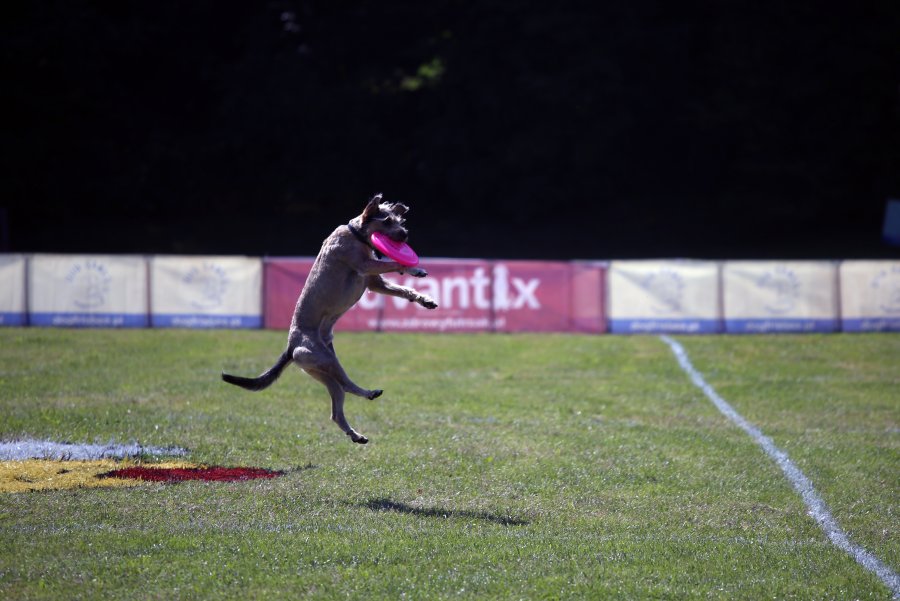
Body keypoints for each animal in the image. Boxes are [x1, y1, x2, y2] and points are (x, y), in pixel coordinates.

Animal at [223, 195, 438, 442]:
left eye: (400, 220)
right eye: (386, 221)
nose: (404, 234)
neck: (356, 234)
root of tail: (291, 347)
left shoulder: (374, 282)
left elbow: (402, 289)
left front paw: (424, 299)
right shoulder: (365, 266)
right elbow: (394, 263)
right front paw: (415, 269)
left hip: (321, 370)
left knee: (336, 408)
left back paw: (356, 434)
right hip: (325, 359)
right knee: (346, 385)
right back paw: (367, 393)